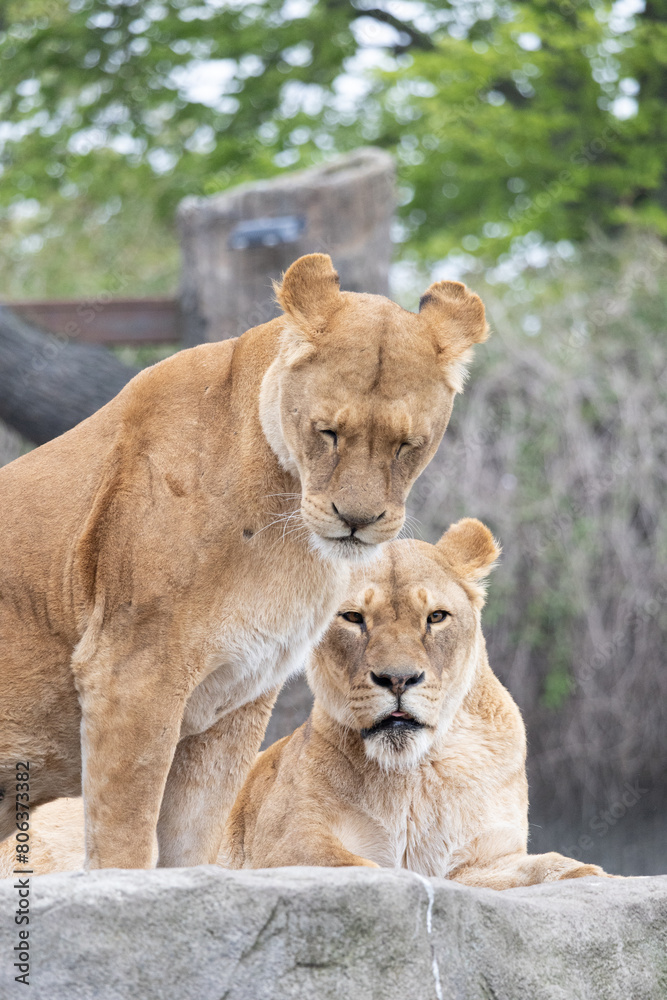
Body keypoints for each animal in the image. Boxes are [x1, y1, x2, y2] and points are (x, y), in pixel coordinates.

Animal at [0, 253, 488, 870]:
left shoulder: (237, 697)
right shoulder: (130, 670)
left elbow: (193, 841)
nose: (356, 520)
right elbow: (125, 833)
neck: (285, 526)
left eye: (407, 445)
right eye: (328, 432)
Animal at [220, 519, 608, 886]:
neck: (415, 772)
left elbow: (548, 866)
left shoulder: (482, 859)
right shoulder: (286, 844)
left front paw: (592, 874)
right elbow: (363, 868)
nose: (398, 679)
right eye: (353, 617)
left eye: (436, 617)